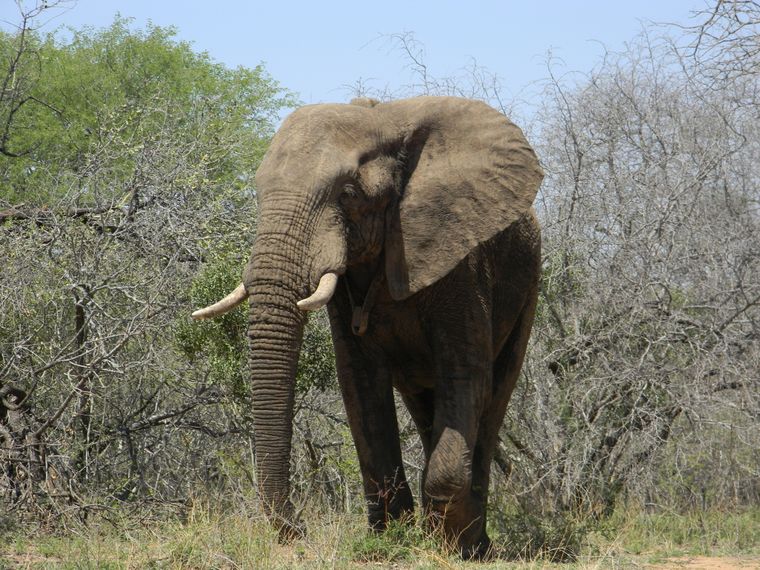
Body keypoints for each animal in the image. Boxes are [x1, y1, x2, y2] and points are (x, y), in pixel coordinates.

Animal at [192, 96, 543, 559]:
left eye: (348, 194)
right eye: (259, 192)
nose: (298, 530)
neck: (385, 122)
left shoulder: (460, 260)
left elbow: (465, 373)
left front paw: (447, 545)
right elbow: (360, 383)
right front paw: (391, 538)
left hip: (529, 285)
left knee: (494, 395)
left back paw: (475, 545)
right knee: (426, 405)